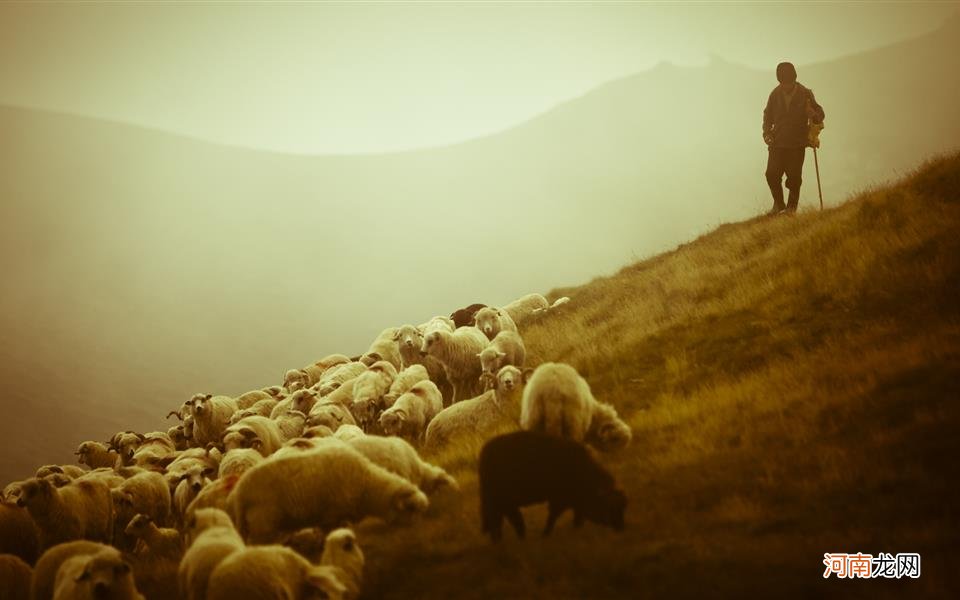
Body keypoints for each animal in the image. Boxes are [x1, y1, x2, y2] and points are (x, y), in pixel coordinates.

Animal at [226, 440, 428, 544]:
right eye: (411, 508)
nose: (417, 532)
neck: (366, 485)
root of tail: (240, 493)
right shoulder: (331, 515)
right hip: (263, 525)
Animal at [476, 428, 628, 540]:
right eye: (610, 508)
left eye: (623, 508)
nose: (621, 528)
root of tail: (484, 452)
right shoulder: (559, 499)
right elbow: (553, 517)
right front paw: (546, 534)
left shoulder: (575, 501)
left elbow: (577, 516)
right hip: (501, 500)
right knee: (506, 519)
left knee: (501, 519)